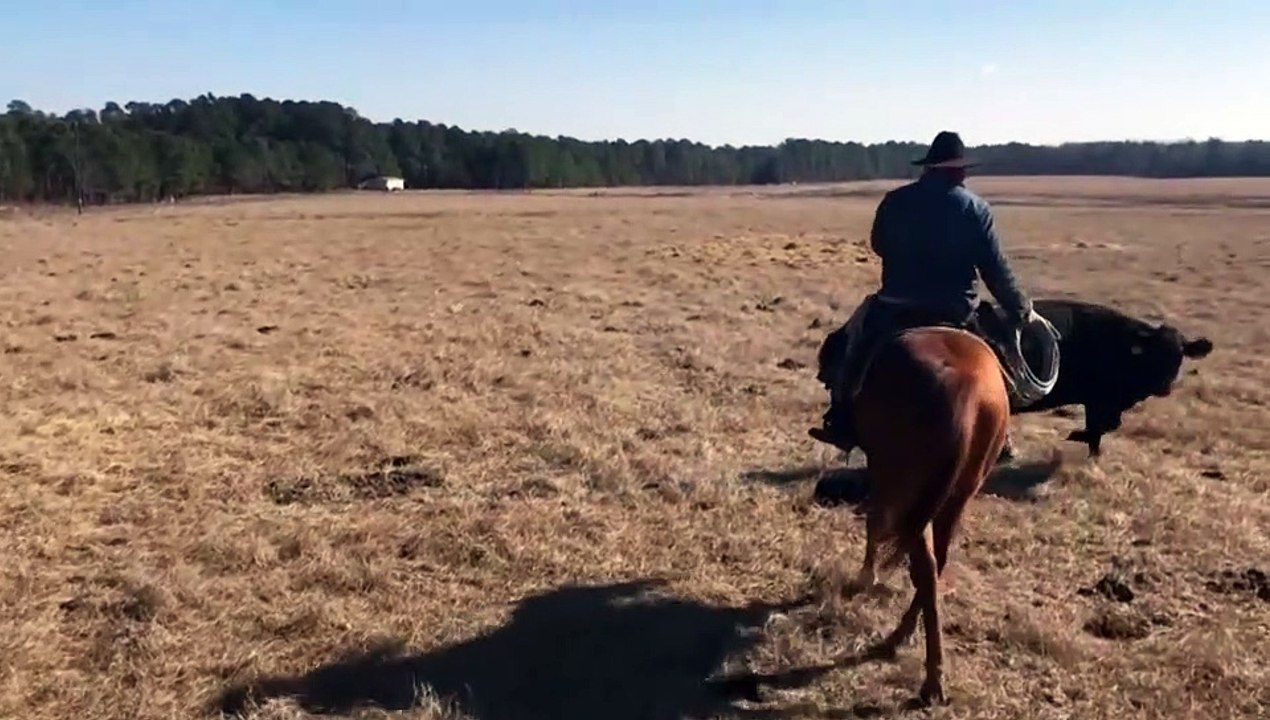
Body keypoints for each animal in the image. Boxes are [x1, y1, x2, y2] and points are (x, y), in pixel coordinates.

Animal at [815, 297, 1215, 458]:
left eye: (1179, 355)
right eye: (1159, 354)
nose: (1165, 386)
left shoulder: (1103, 403)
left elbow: (1101, 430)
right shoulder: (1101, 400)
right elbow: (1099, 428)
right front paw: (1078, 438)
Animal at [845, 324, 1012, 706]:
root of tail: (967, 389)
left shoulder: (882, 475)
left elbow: (875, 525)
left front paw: (865, 576)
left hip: (908, 490)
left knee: (925, 566)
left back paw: (927, 675)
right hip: (956, 498)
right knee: (936, 566)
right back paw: (905, 643)